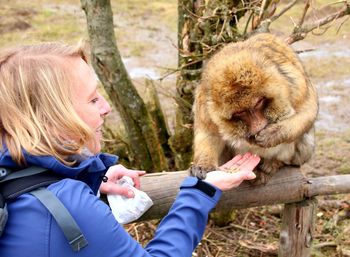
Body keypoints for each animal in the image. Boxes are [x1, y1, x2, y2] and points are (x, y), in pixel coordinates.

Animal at [190, 33, 318, 183]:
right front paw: (204, 165)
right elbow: (209, 132)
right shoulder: (204, 100)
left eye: (258, 103)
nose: (258, 125)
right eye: (240, 112)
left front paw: (274, 134)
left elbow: (307, 111)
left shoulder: (292, 80)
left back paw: (275, 163)